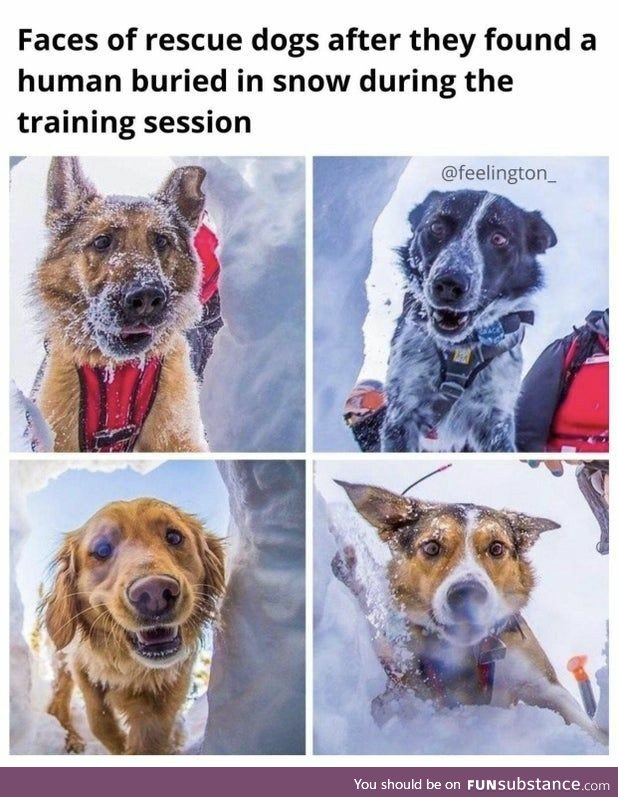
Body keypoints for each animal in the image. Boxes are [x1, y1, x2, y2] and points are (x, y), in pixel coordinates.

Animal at [41, 498, 224, 752]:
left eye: (174, 537)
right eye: (102, 550)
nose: (154, 592)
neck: (132, 667)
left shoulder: (173, 682)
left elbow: (151, 738)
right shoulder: (81, 664)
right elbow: (99, 718)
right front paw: (120, 745)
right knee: (58, 702)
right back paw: (72, 739)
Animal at [334, 478, 604, 748]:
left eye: (496, 548)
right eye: (432, 547)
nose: (467, 593)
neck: (469, 653)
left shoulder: (541, 681)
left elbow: (585, 724)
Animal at [382, 190, 556, 450]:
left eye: (499, 238)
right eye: (437, 227)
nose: (448, 284)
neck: (459, 352)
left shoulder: (495, 422)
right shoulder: (401, 414)